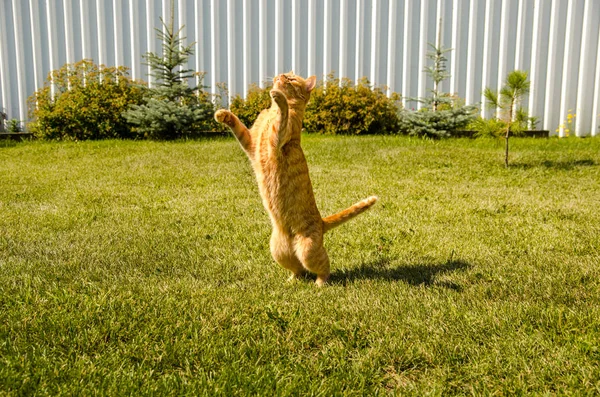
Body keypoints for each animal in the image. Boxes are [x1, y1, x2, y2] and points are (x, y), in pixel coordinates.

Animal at [214, 72, 376, 284]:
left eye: (291, 79)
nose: (280, 75)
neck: (270, 111)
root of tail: (321, 222)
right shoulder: (250, 143)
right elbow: (237, 124)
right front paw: (222, 114)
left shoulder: (277, 137)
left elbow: (282, 115)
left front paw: (279, 97)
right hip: (278, 250)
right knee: (298, 269)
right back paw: (292, 280)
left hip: (308, 251)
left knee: (323, 267)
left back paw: (320, 284)